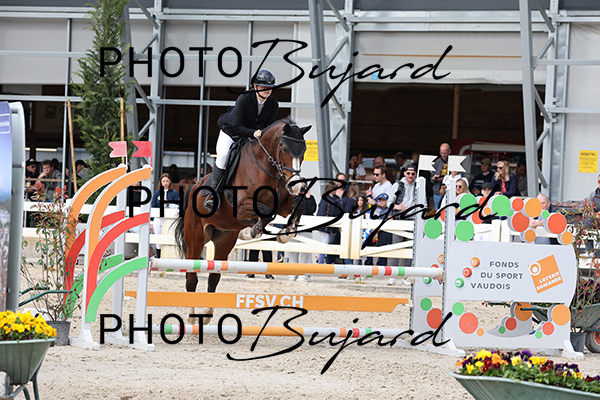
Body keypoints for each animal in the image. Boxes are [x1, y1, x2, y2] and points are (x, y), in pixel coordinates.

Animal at [174, 118, 311, 324]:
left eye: (303, 150)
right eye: (285, 148)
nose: (296, 186)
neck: (266, 167)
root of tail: (192, 189)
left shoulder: (284, 204)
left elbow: (298, 207)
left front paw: (284, 234)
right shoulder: (241, 205)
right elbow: (266, 213)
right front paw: (252, 231)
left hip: (224, 239)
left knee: (213, 277)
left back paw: (206, 316)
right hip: (195, 238)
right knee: (192, 277)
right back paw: (192, 318)